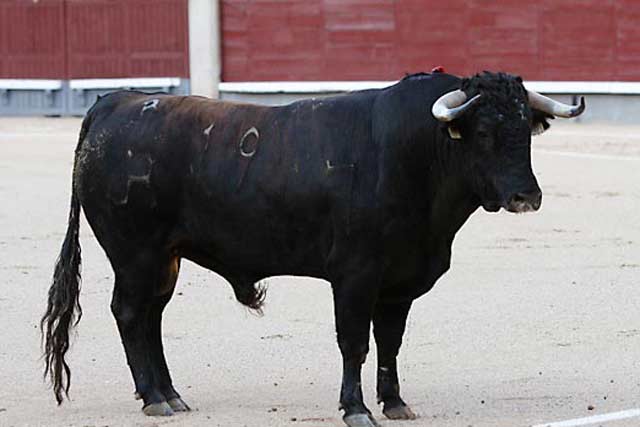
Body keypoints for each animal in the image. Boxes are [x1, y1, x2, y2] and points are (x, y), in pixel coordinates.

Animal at [42, 72, 584, 426]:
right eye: (485, 133)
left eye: (526, 130)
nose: (527, 196)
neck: (416, 153)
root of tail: (115, 102)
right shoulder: (355, 276)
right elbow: (354, 341)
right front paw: (356, 409)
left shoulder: (399, 282)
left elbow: (390, 342)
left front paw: (395, 403)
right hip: (135, 254)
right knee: (130, 313)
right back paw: (154, 397)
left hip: (164, 259)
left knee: (151, 316)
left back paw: (171, 395)